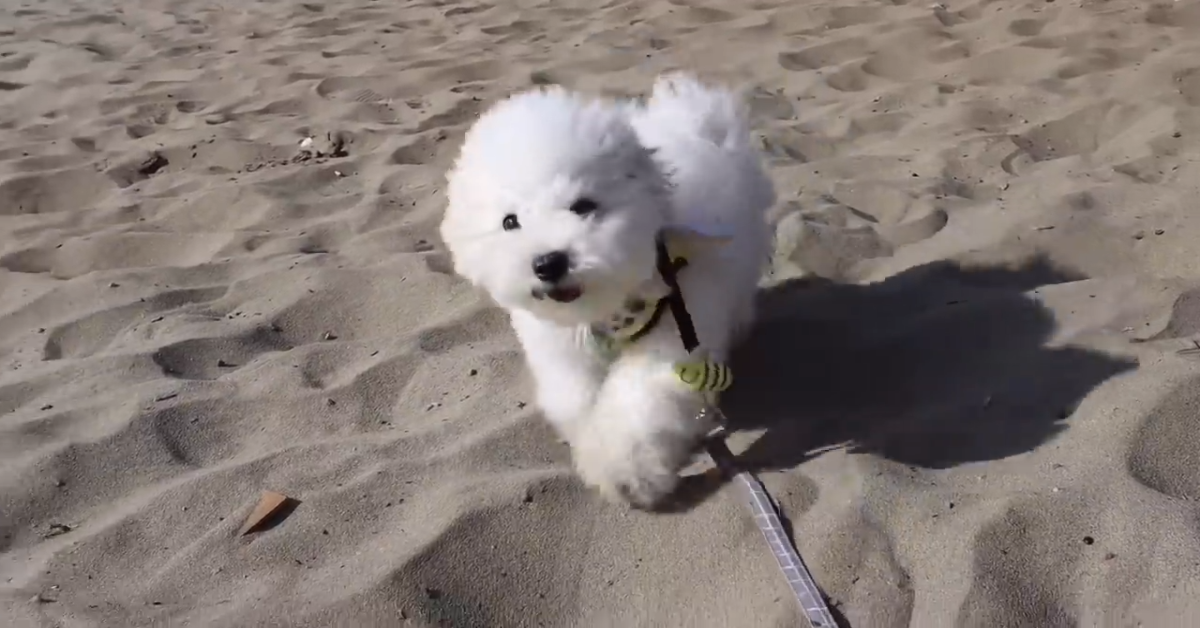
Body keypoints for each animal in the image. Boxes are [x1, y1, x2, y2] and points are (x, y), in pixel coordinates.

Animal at [441, 72, 777, 511]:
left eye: (583, 205)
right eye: (509, 221)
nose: (548, 263)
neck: (606, 307)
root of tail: (695, 119)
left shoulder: (676, 330)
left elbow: (638, 406)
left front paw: (625, 474)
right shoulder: (561, 349)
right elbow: (576, 398)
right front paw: (592, 443)